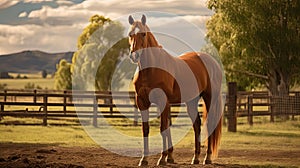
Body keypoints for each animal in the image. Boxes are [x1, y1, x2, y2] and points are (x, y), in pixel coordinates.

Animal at [127, 14, 224, 167]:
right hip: (191, 101)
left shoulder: (163, 102)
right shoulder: (142, 102)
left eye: (143, 34)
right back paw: (195, 158)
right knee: (197, 125)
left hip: (209, 98)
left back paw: (207, 158)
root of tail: (213, 62)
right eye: (130, 34)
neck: (152, 69)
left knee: (209, 125)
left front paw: (162, 158)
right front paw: (146, 159)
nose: (134, 55)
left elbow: (163, 129)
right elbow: (147, 130)